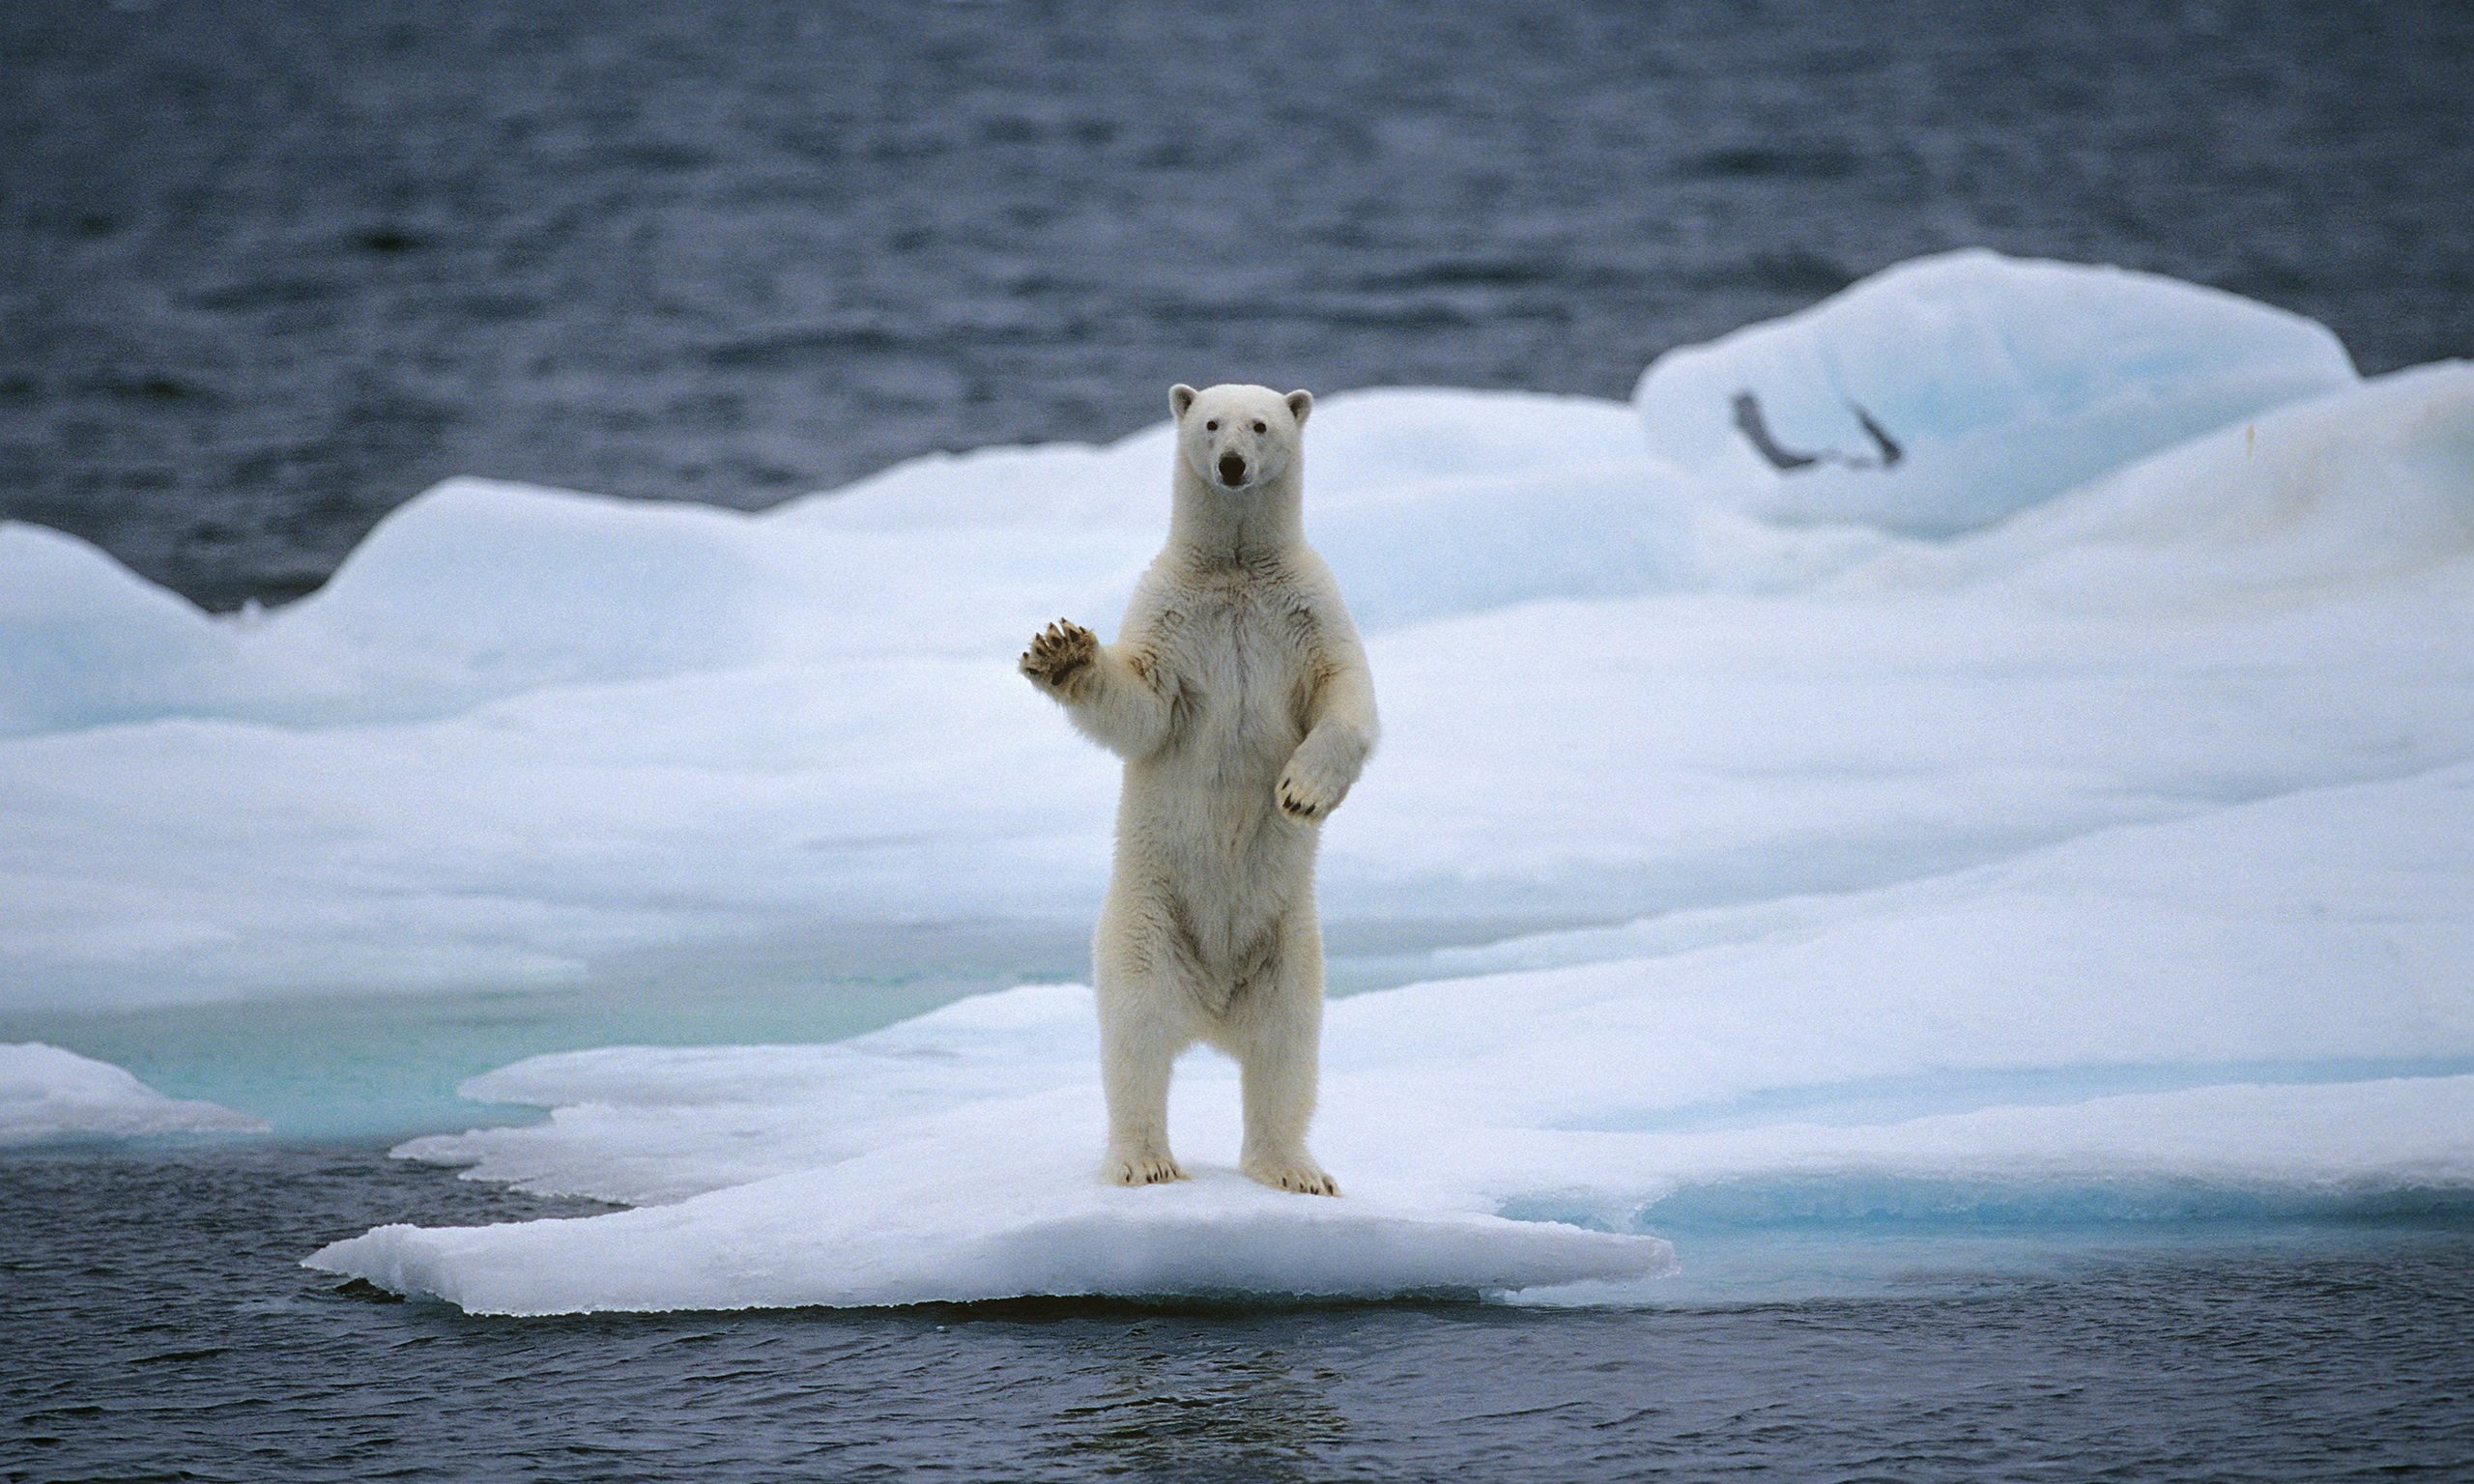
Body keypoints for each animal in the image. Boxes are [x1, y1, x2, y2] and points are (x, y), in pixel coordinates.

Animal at [1019, 382, 1378, 1196]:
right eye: (1211, 423)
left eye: (1262, 425)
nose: (1234, 464)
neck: (1237, 571)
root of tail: (1213, 1009)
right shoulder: (1172, 616)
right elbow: (1141, 708)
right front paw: (1061, 650)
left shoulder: (1309, 611)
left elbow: (1346, 700)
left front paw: (1301, 793)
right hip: (1146, 924)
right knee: (1137, 1039)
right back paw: (1145, 1159)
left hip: (1290, 946)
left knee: (1286, 1051)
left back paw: (1295, 1169)